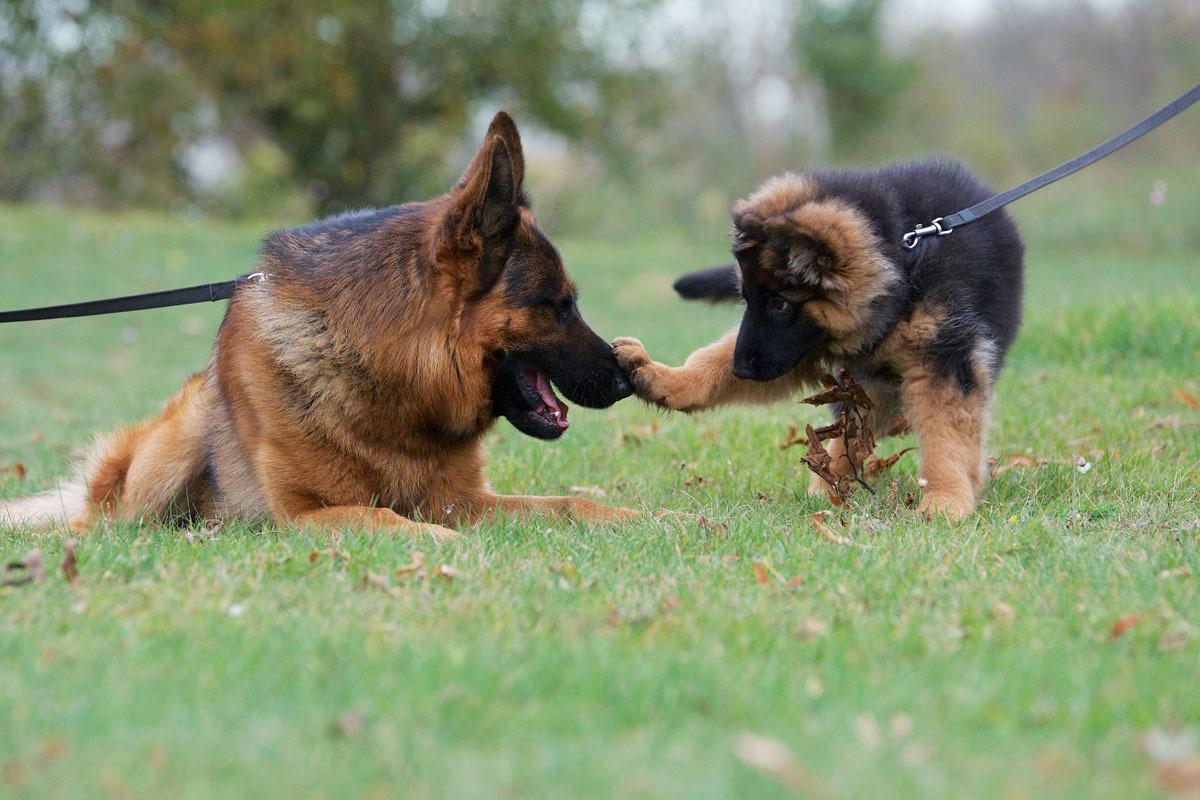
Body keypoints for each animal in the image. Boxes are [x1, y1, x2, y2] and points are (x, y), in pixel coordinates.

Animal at [2, 110, 638, 537]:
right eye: (558, 305)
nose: (627, 377)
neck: (395, 381)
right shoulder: (309, 514)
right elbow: (391, 520)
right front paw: (441, 544)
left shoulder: (464, 500)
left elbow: (570, 504)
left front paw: (645, 515)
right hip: (173, 439)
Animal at [619, 160, 1022, 522]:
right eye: (746, 299)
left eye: (780, 303)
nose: (742, 369)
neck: (903, 262)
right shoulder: (797, 349)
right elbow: (714, 358)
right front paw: (666, 380)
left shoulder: (945, 358)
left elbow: (946, 435)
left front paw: (945, 498)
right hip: (862, 387)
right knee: (849, 434)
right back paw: (826, 490)